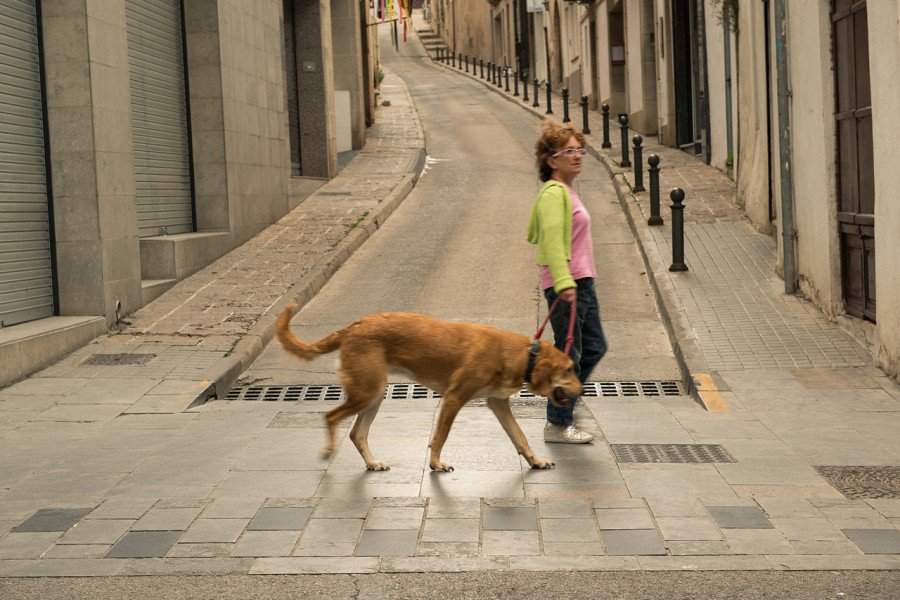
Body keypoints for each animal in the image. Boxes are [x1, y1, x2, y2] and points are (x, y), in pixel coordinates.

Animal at [276, 304, 584, 474]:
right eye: (569, 369)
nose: (582, 391)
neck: (523, 355)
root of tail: (352, 327)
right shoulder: (454, 398)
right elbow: (441, 436)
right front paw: (436, 464)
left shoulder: (498, 403)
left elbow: (520, 438)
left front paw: (536, 462)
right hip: (367, 391)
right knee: (331, 417)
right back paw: (329, 450)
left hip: (375, 394)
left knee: (356, 433)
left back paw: (373, 464)